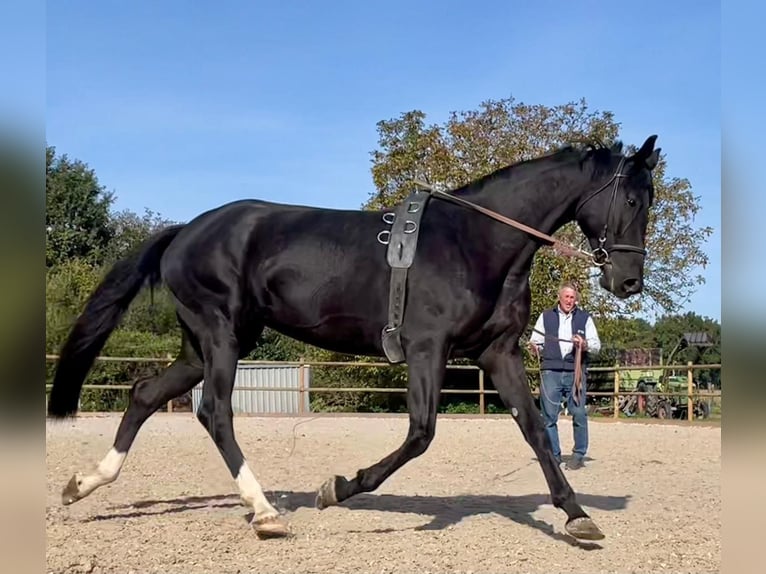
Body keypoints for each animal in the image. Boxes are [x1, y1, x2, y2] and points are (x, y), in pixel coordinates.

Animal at [47, 134, 661, 540]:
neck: (476, 242)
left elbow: (535, 431)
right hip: (220, 336)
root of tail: (184, 232)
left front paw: (576, 515)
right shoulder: (426, 349)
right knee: (214, 413)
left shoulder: (499, 353)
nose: (628, 281)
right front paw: (338, 487)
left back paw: (84, 483)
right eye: (632, 199)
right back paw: (265, 512)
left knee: (145, 394)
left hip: (205, 344)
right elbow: (420, 434)